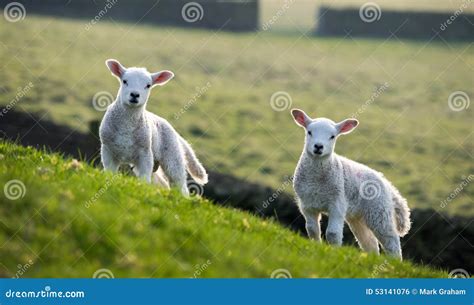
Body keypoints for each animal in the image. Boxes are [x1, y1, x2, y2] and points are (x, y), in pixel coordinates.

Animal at [99, 58, 207, 197]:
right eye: (124, 81)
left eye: (148, 85)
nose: (135, 95)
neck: (127, 124)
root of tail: (176, 133)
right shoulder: (107, 150)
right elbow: (109, 173)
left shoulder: (145, 153)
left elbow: (144, 179)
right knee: (163, 183)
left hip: (173, 157)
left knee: (179, 184)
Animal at [290, 108, 410, 258]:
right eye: (309, 132)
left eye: (332, 136)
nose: (318, 147)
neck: (315, 180)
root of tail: (387, 183)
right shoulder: (307, 205)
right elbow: (312, 230)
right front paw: (315, 247)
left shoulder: (337, 203)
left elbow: (333, 234)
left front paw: (334, 253)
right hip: (357, 217)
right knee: (369, 242)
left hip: (379, 211)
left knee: (391, 240)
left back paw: (394, 261)